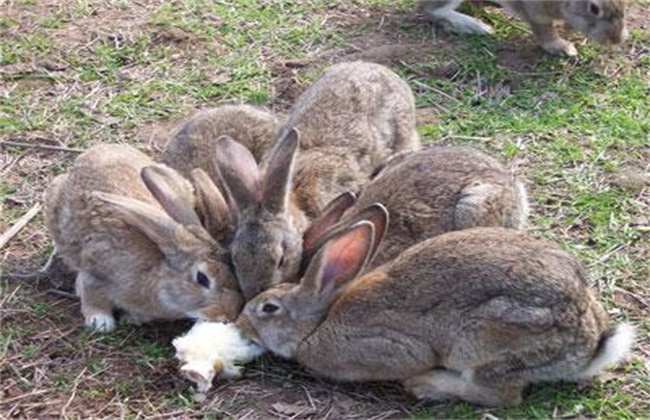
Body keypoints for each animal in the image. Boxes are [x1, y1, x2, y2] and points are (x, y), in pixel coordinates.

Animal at [43, 144, 240, 332]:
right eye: (202, 278)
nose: (229, 315)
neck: (156, 273)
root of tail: (94, 151)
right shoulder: (95, 272)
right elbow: (92, 296)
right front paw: (100, 322)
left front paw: (132, 318)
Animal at [237, 212, 632, 406]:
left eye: (269, 308)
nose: (240, 322)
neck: (318, 323)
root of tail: (589, 345)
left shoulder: (390, 348)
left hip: (485, 341)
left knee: (501, 395)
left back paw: (426, 386)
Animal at [418, 0, 624, 56]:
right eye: (594, 8)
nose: (617, 39)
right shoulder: (535, 10)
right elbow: (544, 29)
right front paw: (562, 48)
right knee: (430, 10)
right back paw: (476, 26)